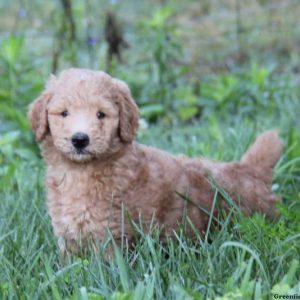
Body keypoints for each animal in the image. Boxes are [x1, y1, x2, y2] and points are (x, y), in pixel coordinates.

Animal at [27, 68, 282, 253]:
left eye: (101, 114)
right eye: (64, 113)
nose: (80, 139)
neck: (80, 172)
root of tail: (248, 170)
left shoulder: (110, 233)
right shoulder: (67, 235)